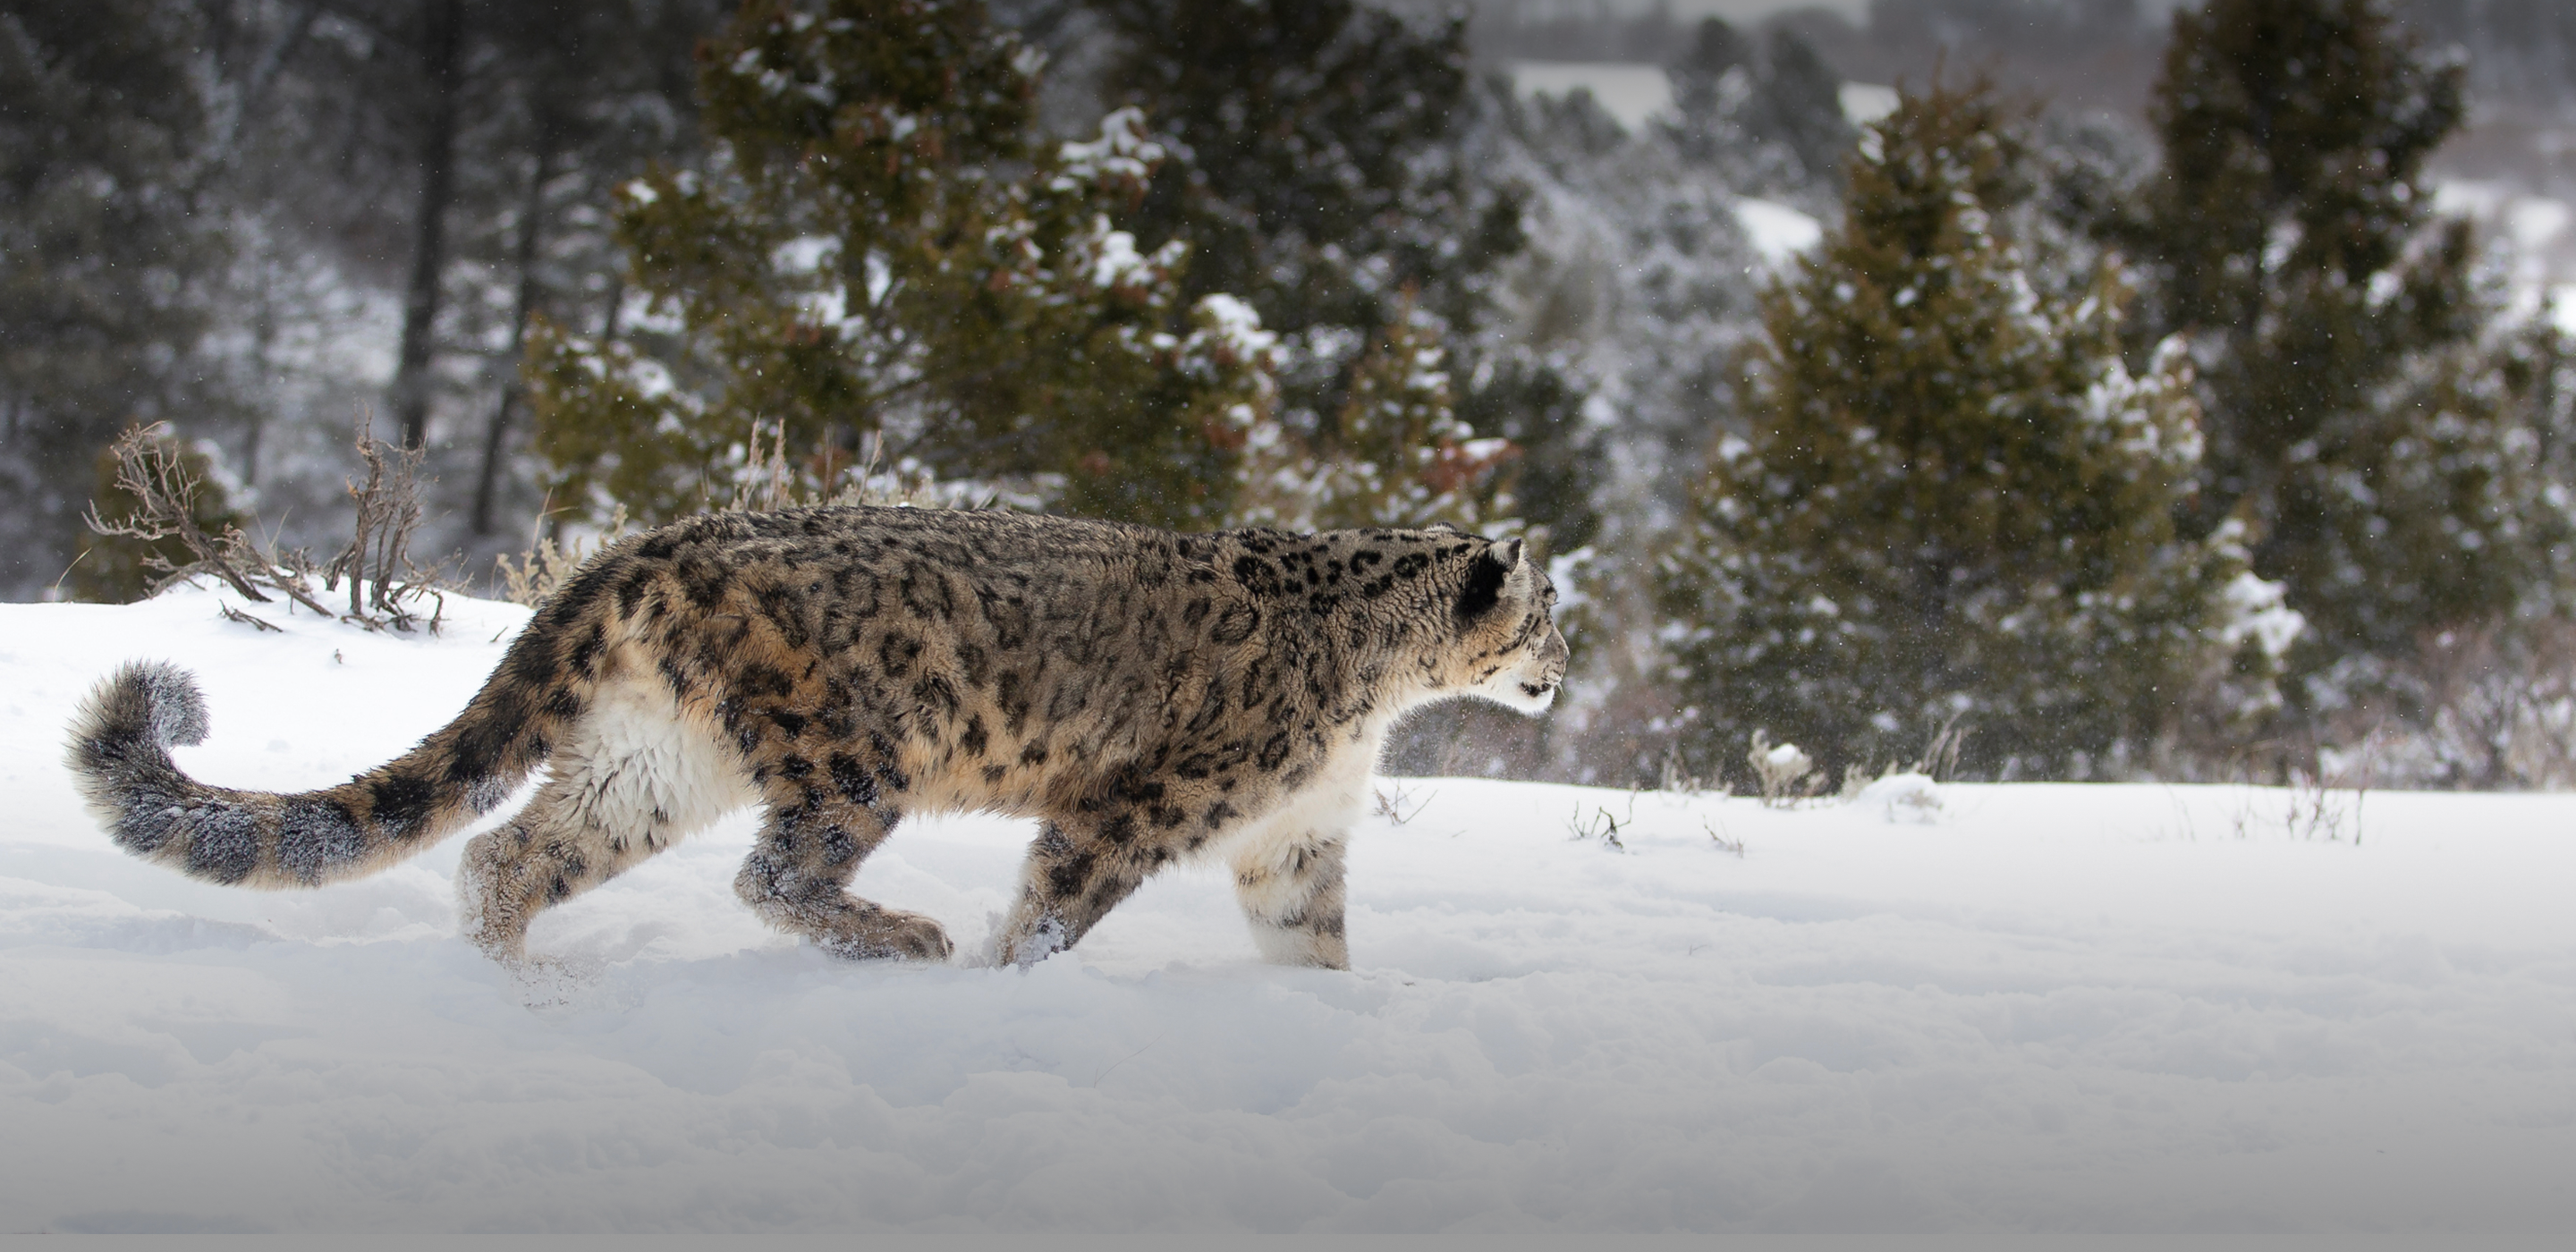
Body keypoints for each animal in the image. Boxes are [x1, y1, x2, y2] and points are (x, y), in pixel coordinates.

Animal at [64, 506, 1568, 971]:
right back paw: (900, 938)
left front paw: (1336, 1021)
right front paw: (1004, 978)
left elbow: (1314, 945)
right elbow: (1055, 907)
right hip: (854, 759)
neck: (1382, 693)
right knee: (776, 872)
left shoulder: (1295, 840)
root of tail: (646, 547)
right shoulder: (1146, 807)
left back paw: (511, 987)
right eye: (1549, 614)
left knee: (510, 857)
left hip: (649, 764)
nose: (1565, 672)